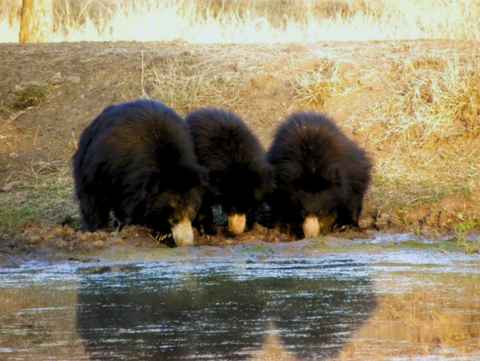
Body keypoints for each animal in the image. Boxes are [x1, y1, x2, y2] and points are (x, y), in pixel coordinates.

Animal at [72, 98, 206, 246]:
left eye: (192, 213)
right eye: (174, 218)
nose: (186, 243)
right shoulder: (126, 172)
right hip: (91, 166)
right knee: (91, 200)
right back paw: (96, 229)